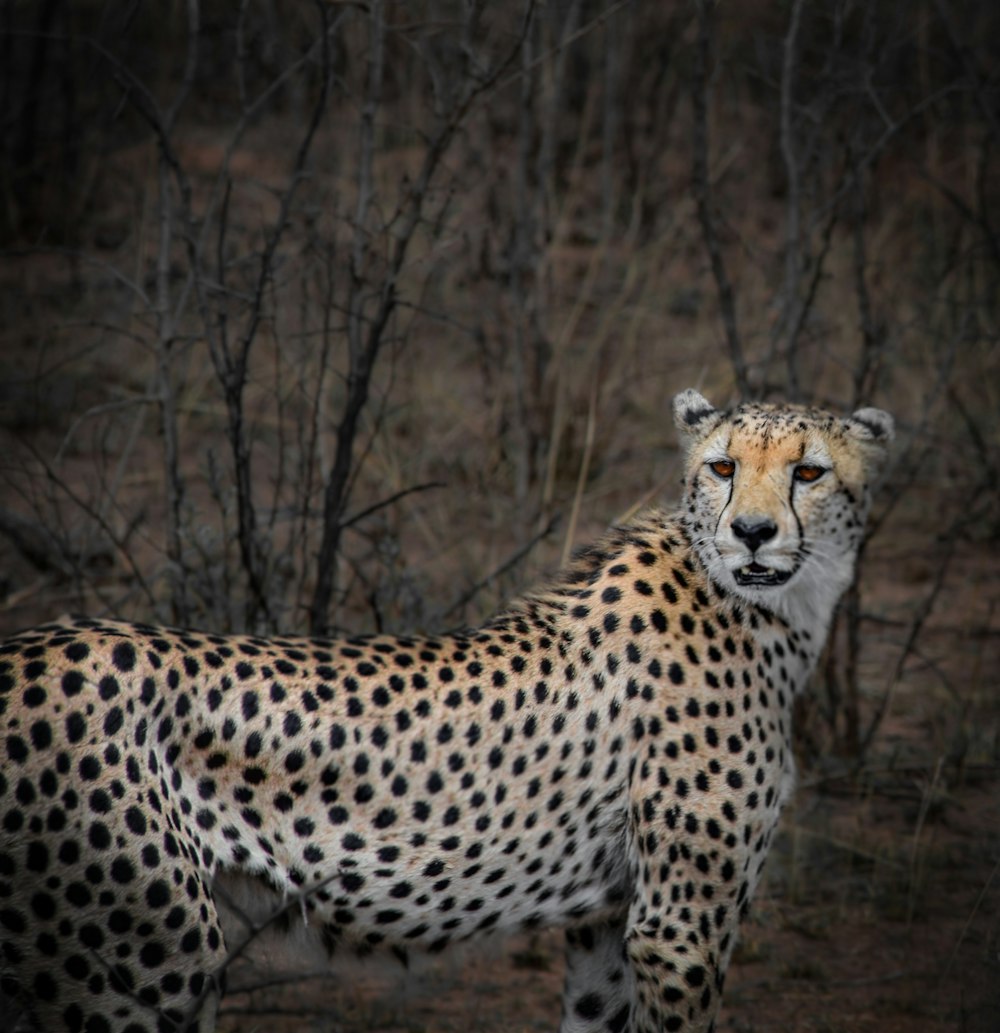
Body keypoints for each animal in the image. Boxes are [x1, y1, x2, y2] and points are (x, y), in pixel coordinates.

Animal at [0, 390, 892, 1033]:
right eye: (722, 465)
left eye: (809, 473)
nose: (753, 532)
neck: (764, 607)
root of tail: (30, 643)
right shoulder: (679, 930)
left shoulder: (613, 922)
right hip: (146, 958)